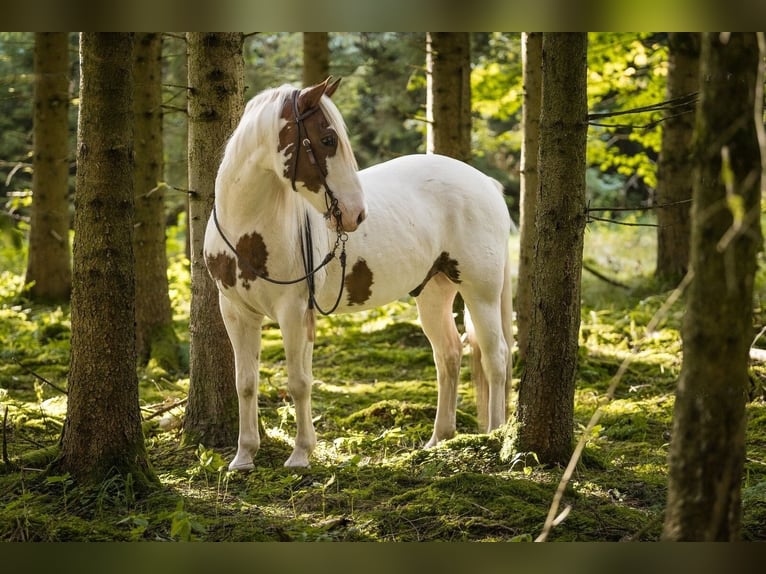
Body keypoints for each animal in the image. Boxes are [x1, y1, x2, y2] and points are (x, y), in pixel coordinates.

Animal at [204, 77, 514, 470]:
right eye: (327, 139)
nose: (355, 214)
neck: (250, 230)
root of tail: (486, 183)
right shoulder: (236, 312)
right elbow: (245, 382)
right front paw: (243, 457)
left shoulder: (294, 311)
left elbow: (299, 381)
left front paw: (301, 454)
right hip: (434, 291)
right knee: (449, 355)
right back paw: (438, 440)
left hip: (480, 291)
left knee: (494, 357)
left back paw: (495, 436)